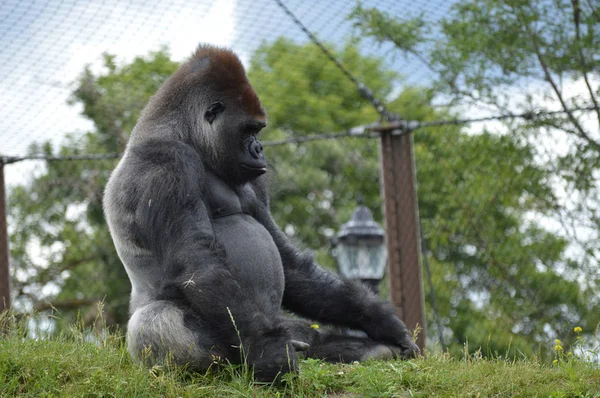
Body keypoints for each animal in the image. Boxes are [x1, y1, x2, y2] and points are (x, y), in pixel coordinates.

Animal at [103, 44, 420, 382]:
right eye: (249, 130)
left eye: (258, 130)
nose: (259, 149)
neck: (184, 133)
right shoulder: (165, 162)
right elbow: (198, 263)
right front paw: (270, 353)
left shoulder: (255, 181)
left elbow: (288, 262)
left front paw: (378, 319)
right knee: (157, 320)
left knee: (302, 333)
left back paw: (364, 350)